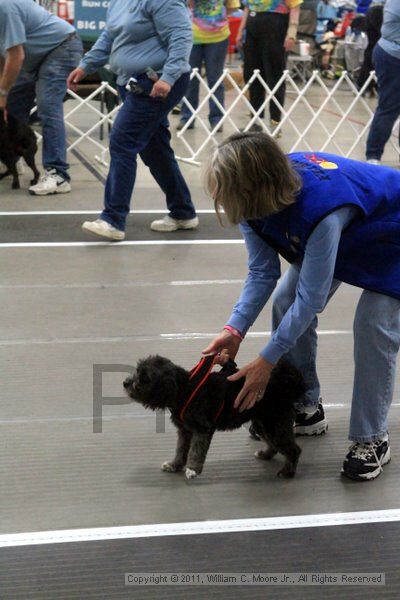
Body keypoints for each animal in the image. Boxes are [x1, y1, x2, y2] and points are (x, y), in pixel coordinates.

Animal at [123, 354, 304, 480]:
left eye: (144, 378)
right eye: (137, 371)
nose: (125, 383)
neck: (184, 389)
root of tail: (285, 387)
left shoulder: (202, 429)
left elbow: (196, 450)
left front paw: (193, 469)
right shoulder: (185, 430)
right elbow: (181, 449)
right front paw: (175, 465)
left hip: (274, 425)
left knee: (294, 450)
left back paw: (288, 471)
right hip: (263, 424)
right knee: (274, 445)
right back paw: (266, 454)